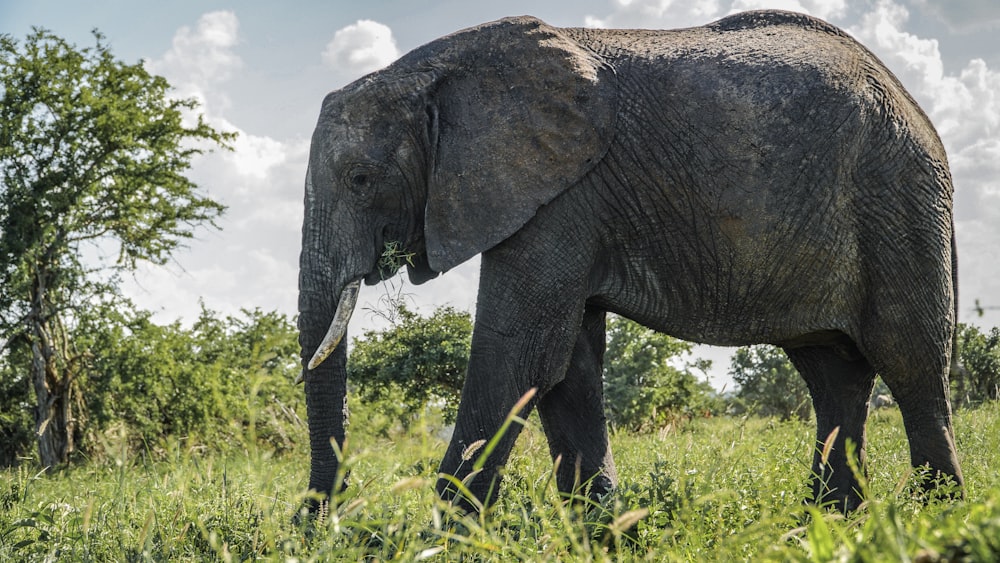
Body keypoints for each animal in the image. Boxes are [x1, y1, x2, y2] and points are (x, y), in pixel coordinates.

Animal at [296, 9, 960, 516]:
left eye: (360, 179)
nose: (324, 521)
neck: (434, 71)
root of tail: (912, 101)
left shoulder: (560, 196)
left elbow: (519, 353)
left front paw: (445, 537)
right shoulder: (560, 197)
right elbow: (568, 365)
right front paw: (605, 533)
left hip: (898, 201)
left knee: (913, 368)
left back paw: (935, 519)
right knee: (834, 378)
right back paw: (830, 525)